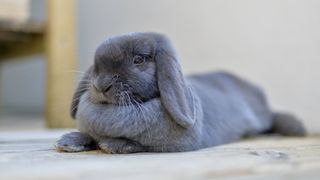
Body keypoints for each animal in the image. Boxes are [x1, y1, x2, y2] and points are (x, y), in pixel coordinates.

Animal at [55, 32, 304, 153]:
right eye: (96, 66)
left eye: (139, 59)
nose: (101, 85)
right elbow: (87, 135)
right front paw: (68, 141)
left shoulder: (175, 144)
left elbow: (137, 144)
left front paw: (112, 145)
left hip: (261, 115)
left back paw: (295, 128)